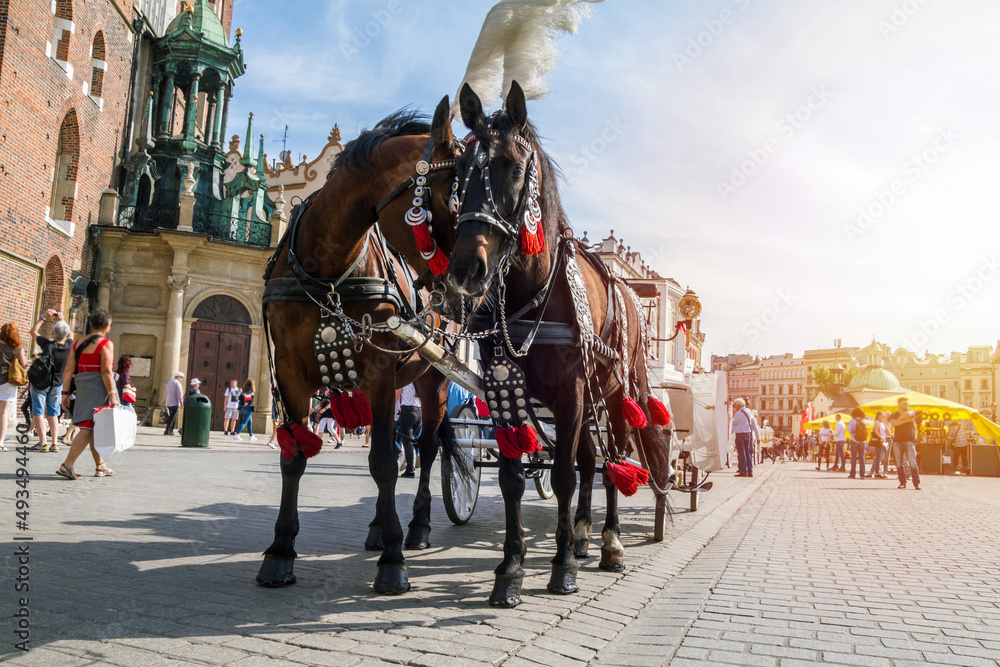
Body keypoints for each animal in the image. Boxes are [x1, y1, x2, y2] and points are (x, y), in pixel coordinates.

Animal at [256, 98, 462, 596]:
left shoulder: (378, 373)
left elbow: (386, 462)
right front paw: (280, 551)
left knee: (426, 448)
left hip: (433, 380)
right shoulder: (289, 371)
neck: (327, 268)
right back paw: (377, 527)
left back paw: (417, 528)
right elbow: (294, 457)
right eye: (452, 196)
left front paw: (393, 562)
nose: (463, 288)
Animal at [444, 81, 672, 608]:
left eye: (512, 166)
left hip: (615, 393)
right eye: (460, 172)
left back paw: (609, 543)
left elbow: (566, 475)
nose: (466, 269)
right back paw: (584, 535)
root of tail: (631, 293)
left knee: (615, 460)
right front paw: (510, 569)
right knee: (592, 461)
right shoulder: (502, 390)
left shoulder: (571, 392)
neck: (533, 293)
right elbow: (512, 478)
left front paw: (562, 568)